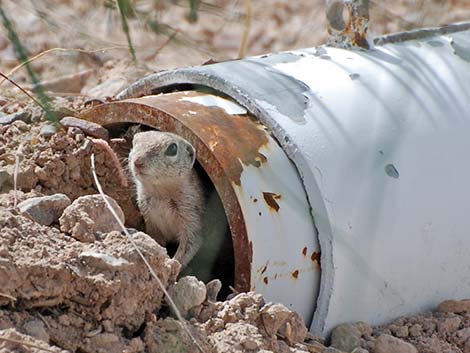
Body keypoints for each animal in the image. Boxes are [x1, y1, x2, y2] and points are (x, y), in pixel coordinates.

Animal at [127, 131, 205, 266]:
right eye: (134, 141)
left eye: (172, 148)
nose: (138, 161)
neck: (161, 193)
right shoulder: (151, 221)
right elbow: (156, 240)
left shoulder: (192, 217)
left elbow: (190, 244)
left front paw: (172, 264)